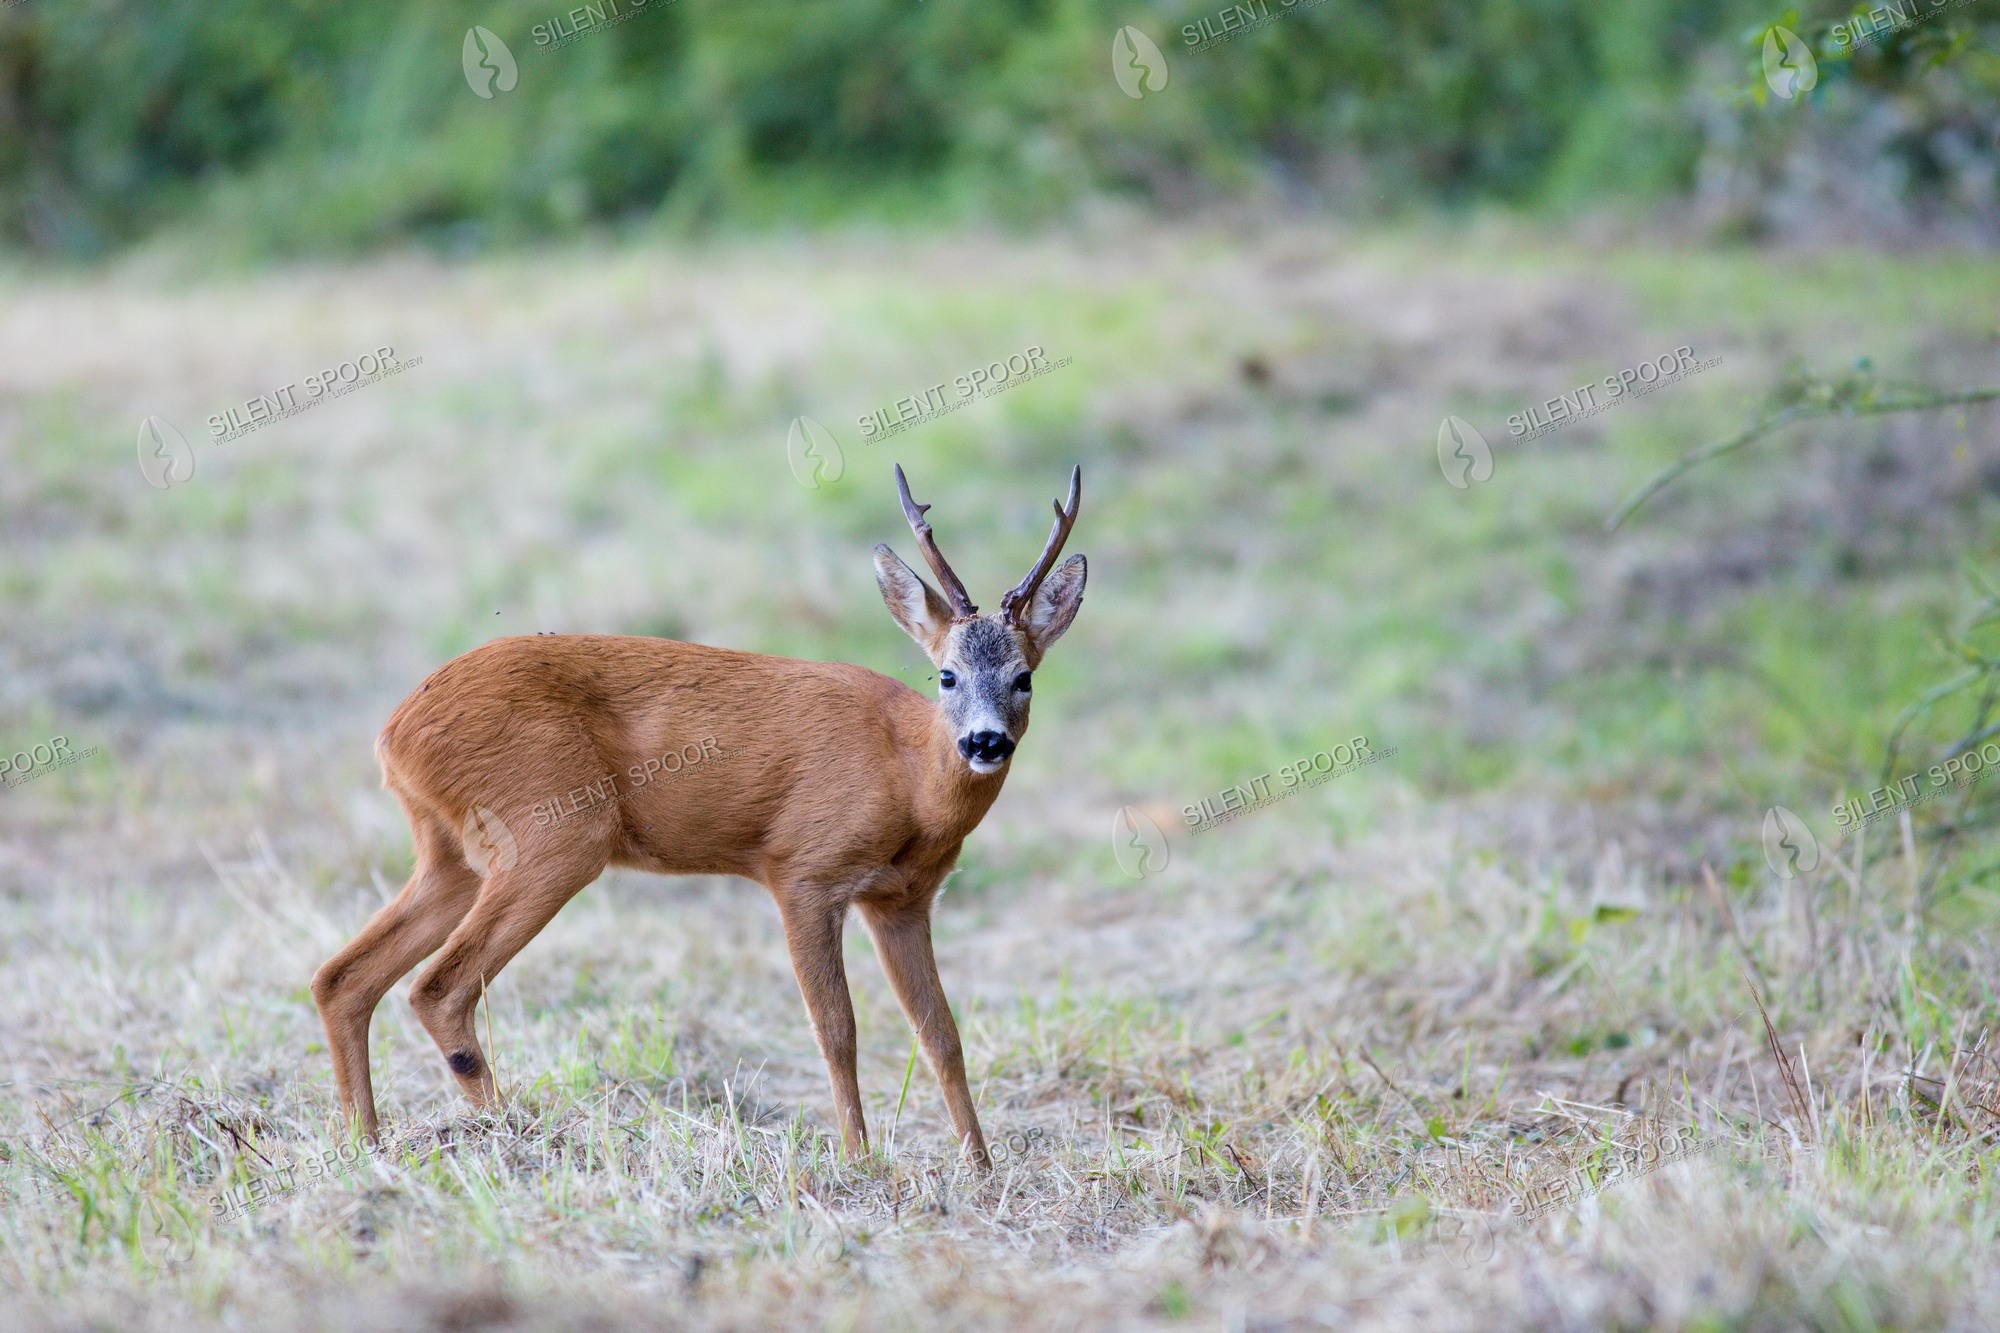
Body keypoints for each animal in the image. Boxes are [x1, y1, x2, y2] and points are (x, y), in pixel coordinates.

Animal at [311, 464, 1086, 1172]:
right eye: (947, 675)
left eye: (1024, 677)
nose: (984, 742)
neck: (907, 775)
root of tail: (393, 733)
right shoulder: (802, 870)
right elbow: (837, 1028)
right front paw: (860, 1160)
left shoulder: (902, 898)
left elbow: (941, 1033)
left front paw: (980, 1166)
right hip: (554, 835)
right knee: (438, 988)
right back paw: (523, 1136)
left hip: (453, 854)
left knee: (343, 977)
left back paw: (367, 1142)